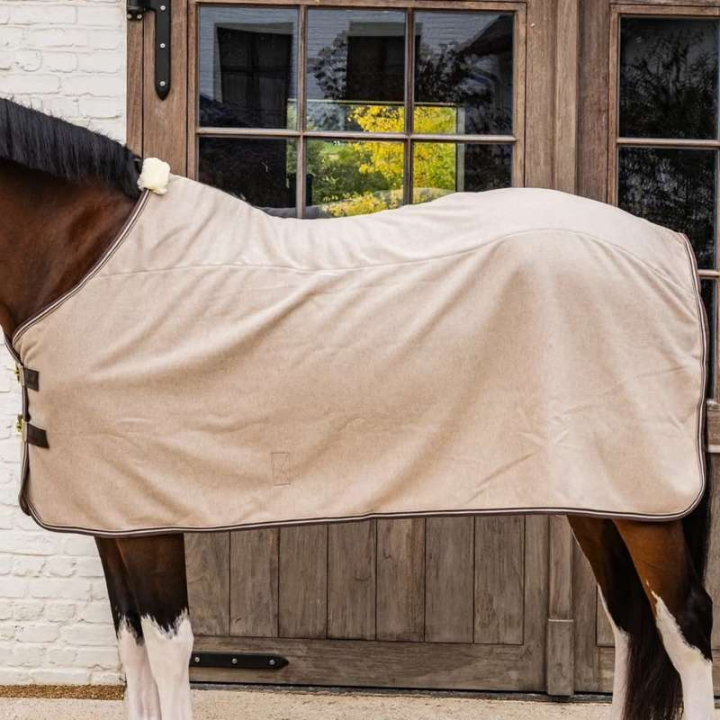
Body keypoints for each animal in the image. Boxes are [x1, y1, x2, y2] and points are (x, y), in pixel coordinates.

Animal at [0, 97, 713, 720]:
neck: (85, 260)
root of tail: (669, 245)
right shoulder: (111, 517)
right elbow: (134, 649)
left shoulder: (148, 517)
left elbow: (169, 650)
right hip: (599, 491)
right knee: (630, 620)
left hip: (646, 495)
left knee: (686, 625)